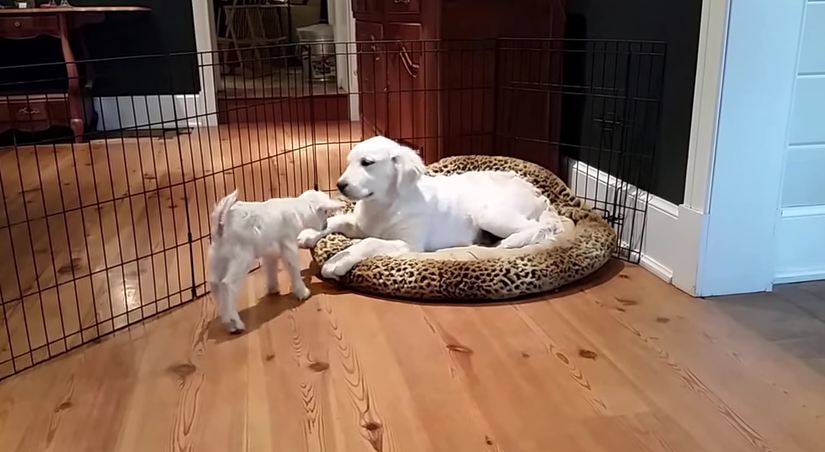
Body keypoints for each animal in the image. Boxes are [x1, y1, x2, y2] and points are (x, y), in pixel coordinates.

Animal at [296, 136, 560, 278]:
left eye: (367, 163)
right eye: (349, 162)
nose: (339, 186)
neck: (384, 204)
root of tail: (539, 193)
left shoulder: (407, 244)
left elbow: (369, 242)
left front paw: (337, 261)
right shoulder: (360, 224)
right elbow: (337, 220)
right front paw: (309, 233)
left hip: (490, 213)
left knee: (533, 228)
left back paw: (505, 242)